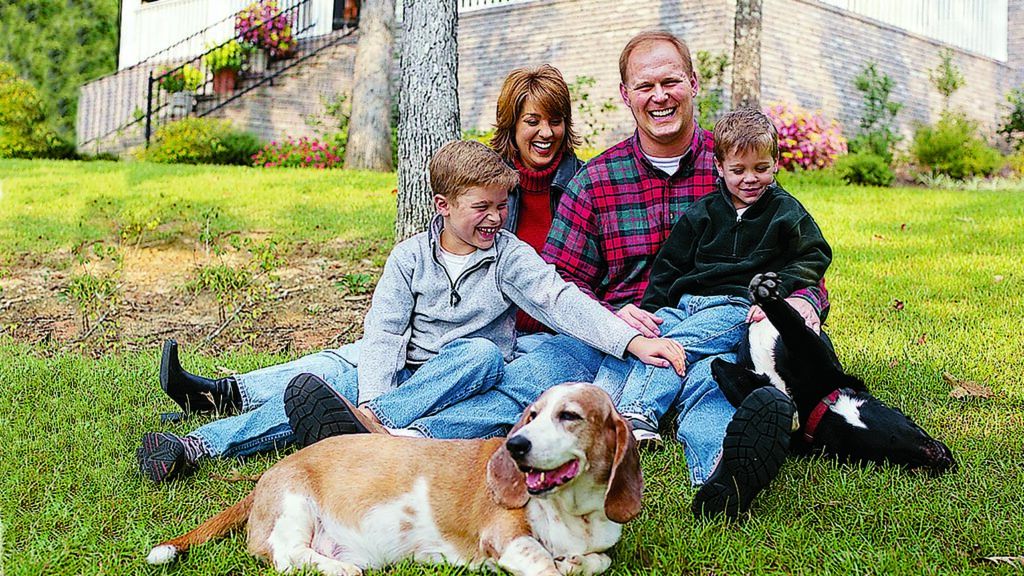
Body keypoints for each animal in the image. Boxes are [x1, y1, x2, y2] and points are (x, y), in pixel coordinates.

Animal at [708, 270, 954, 473]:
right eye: (912, 426)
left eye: (892, 458)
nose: (944, 459)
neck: (820, 400)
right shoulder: (809, 352)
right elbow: (719, 366)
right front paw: (765, 292)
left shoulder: (808, 347)